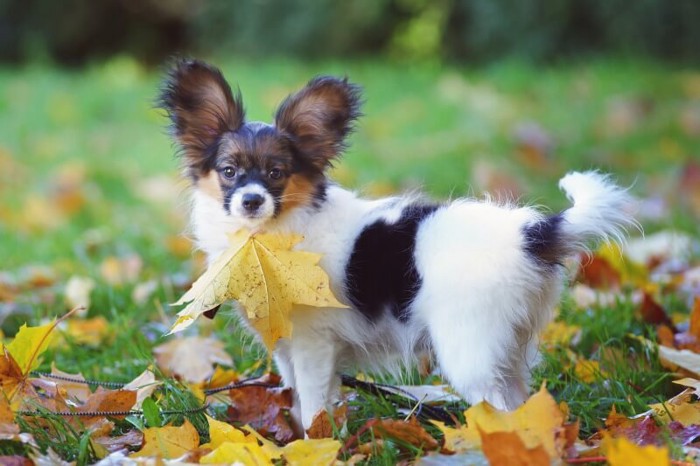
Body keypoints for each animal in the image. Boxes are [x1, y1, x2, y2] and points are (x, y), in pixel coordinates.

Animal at [157, 59, 636, 434]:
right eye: (229, 171)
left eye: (277, 173)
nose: (252, 201)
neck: (266, 240)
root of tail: (531, 233)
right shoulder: (288, 346)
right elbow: (297, 397)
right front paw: (299, 438)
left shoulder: (314, 345)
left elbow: (313, 402)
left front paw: (316, 442)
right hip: (508, 345)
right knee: (520, 400)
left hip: (468, 348)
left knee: (498, 406)